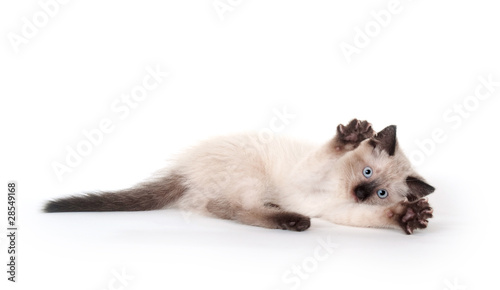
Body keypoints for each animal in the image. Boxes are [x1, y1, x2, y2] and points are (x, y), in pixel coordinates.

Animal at [46, 119, 434, 234]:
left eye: (382, 193)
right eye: (367, 171)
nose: (361, 193)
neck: (339, 188)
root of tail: (184, 169)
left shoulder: (340, 210)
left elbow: (373, 218)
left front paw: (409, 214)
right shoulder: (305, 176)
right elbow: (329, 151)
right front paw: (352, 136)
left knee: (222, 208)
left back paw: (287, 216)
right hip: (252, 175)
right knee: (231, 209)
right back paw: (293, 221)